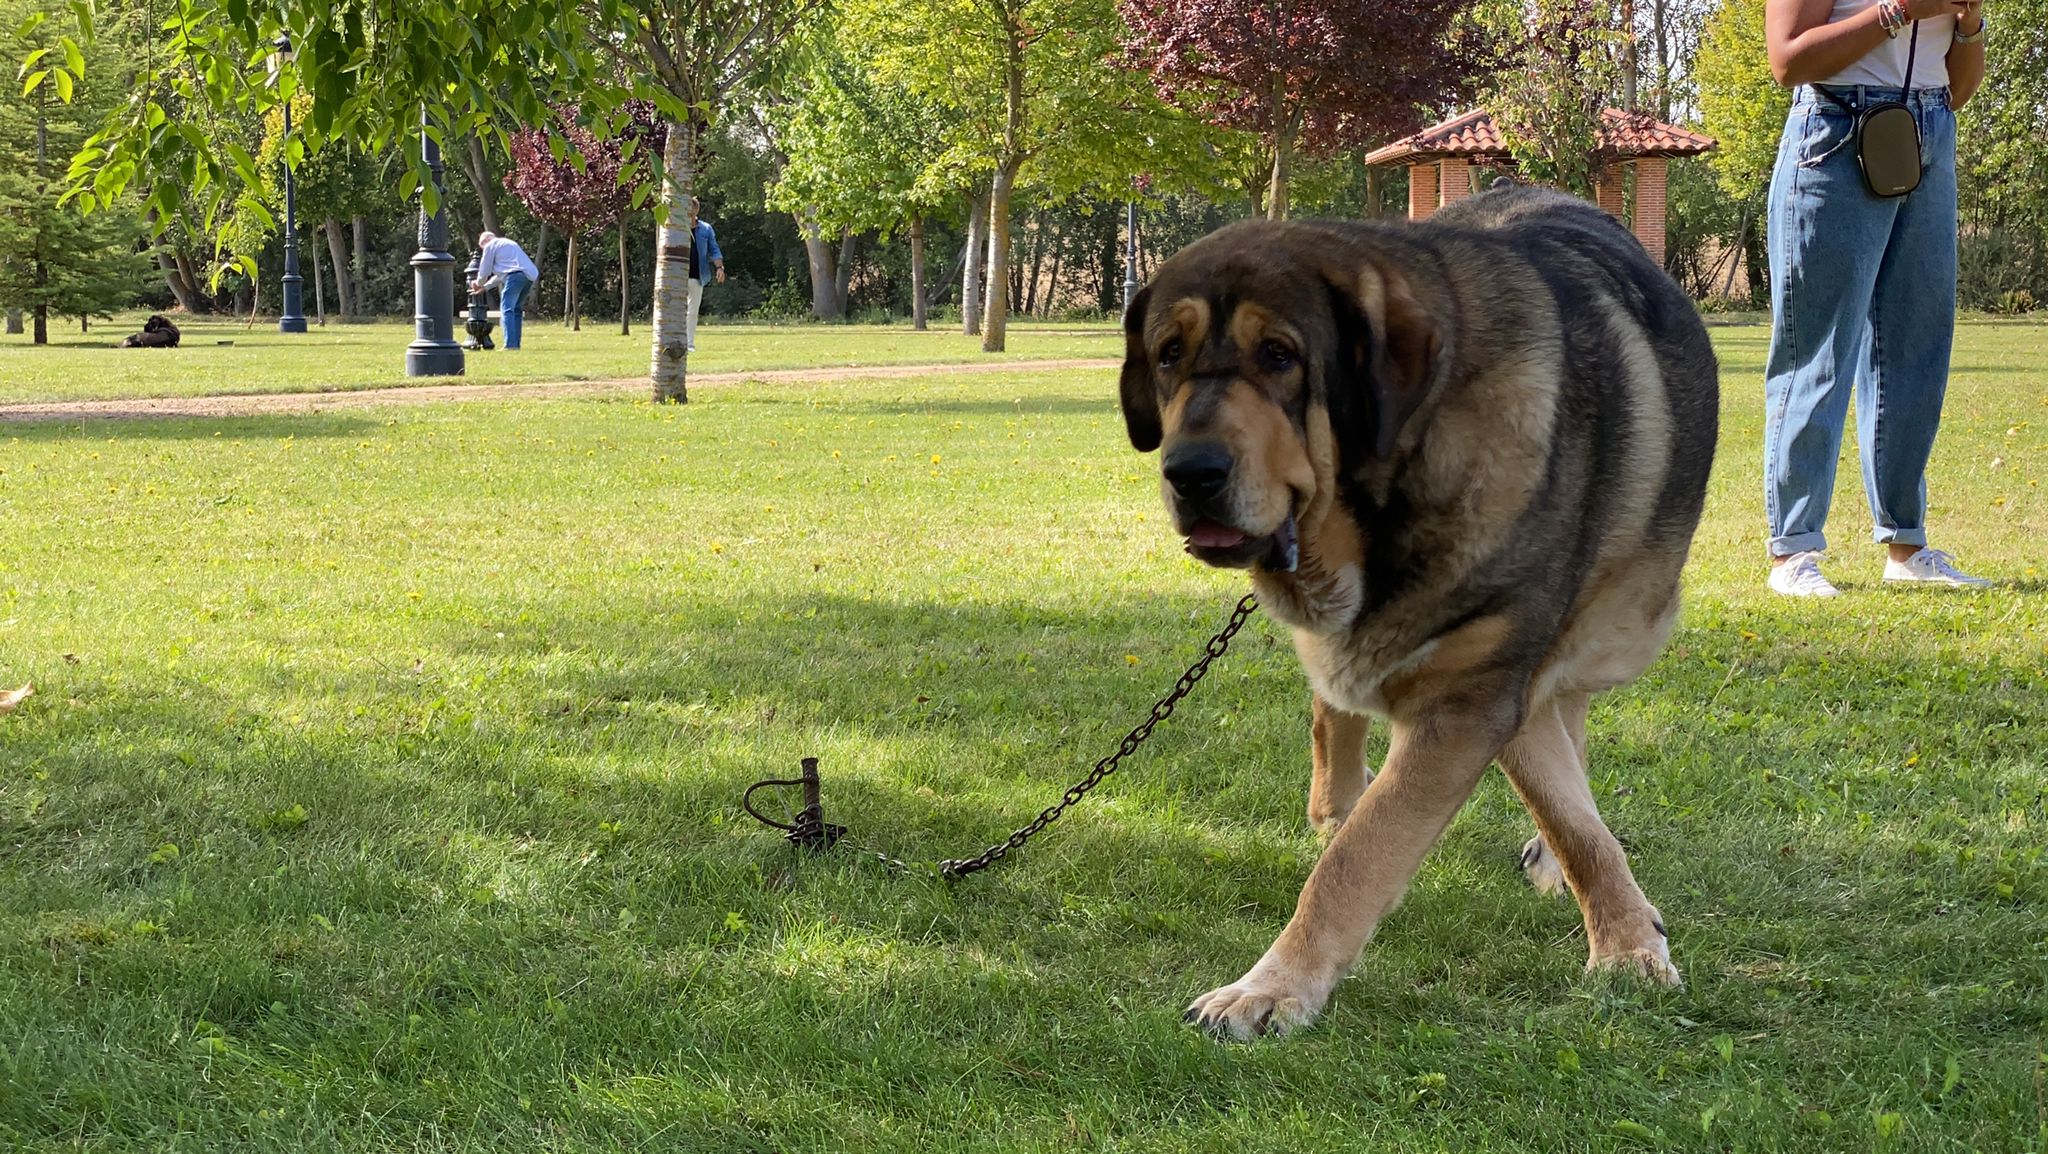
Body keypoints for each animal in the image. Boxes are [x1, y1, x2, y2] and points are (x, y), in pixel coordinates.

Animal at [1130, 187, 1720, 1037]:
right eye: (1169, 354)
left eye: (1280, 355)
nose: (1191, 471)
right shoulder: (1481, 692)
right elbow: (1543, 807)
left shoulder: (1479, 690)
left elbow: (1371, 854)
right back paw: (1339, 793)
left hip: (1621, 619)